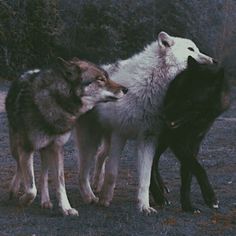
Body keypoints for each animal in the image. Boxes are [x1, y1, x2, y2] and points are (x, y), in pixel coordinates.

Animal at [5, 58, 127, 216]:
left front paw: (66, 208)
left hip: (46, 151)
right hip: (16, 147)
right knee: (19, 166)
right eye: (100, 79)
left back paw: (45, 201)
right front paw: (24, 200)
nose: (126, 89)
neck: (56, 101)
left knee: (43, 175)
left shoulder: (57, 148)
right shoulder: (26, 148)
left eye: (107, 77)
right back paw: (14, 190)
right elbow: (31, 189)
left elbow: (60, 182)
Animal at [75, 31, 216, 214]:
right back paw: (90, 196)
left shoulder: (148, 138)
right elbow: (113, 173)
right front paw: (105, 200)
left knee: (100, 157)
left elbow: (146, 178)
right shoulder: (120, 134)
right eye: (191, 49)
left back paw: (97, 186)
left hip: (106, 140)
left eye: (197, 49)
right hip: (90, 142)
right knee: (82, 172)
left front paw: (144, 206)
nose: (214, 61)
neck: (149, 83)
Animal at [150, 57, 230, 214]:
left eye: (187, 100)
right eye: (175, 93)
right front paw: (210, 198)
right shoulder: (177, 142)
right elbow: (198, 168)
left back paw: (162, 187)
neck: (196, 122)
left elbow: (188, 175)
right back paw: (159, 197)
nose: (161, 116)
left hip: (163, 143)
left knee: (155, 161)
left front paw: (187, 206)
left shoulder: (194, 144)